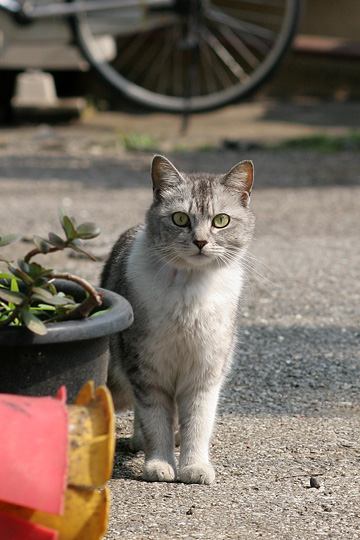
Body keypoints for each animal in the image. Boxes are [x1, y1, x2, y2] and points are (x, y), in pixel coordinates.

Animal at [100, 153, 255, 486]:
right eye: (180, 219)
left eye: (221, 220)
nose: (200, 242)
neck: (189, 288)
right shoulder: (146, 370)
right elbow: (155, 422)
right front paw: (159, 465)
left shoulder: (204, 374)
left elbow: (197, 424)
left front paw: (195, 467)